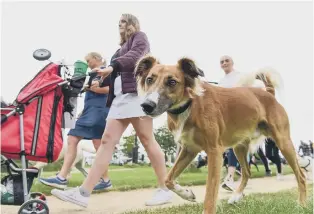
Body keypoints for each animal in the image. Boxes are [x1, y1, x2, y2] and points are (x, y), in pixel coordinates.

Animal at [134, 55, 306, 214]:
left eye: (172, 82)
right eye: (149, 79)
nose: (146, 105)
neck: (190, 104)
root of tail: (268, 93)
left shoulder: (214, 152)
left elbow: (210, 194)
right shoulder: (189, 149)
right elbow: (168, 179)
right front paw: (187, 194)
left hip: (283, 142)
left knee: (301, 175)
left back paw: (301, 204)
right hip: (239, 147)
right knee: (247, 172)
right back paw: (236, 196)